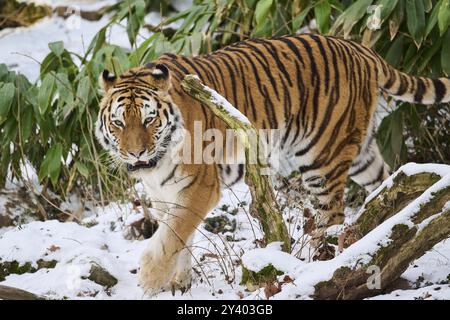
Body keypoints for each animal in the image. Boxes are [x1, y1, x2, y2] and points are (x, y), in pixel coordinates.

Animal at [95, 33, 450, 294]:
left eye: (149, 119)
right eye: (119, 123)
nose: (136, 153)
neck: (156, 164)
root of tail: (358, 47)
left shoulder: (200, 187)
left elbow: (173, 234)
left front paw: (150, 278)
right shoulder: (163, 193)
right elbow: (180, 237)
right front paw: (177, 282)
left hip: (323, 157)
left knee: (332, 214)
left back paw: (322, 264)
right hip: (361, 153)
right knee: (387, 183)